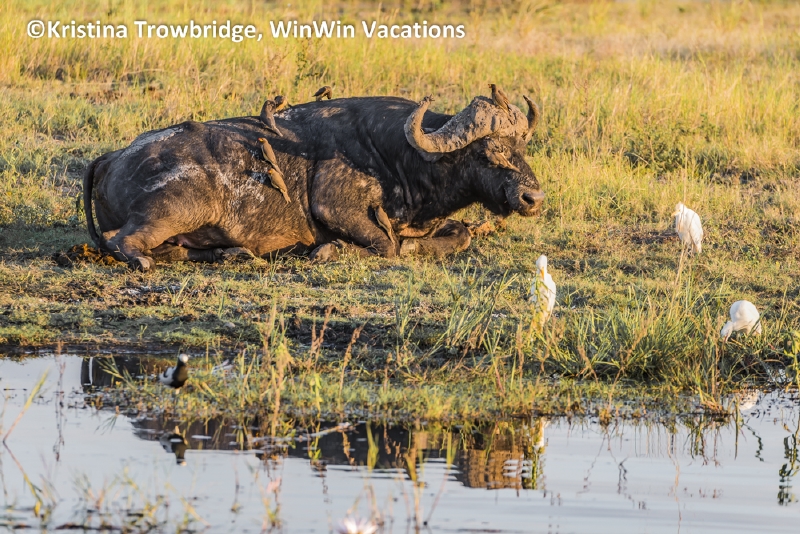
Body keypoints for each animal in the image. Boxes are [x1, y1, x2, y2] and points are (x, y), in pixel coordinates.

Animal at [83, 93, 544, 270]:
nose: (532, 197)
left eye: (522, 146)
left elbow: (460, 234)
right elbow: (386, 244)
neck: (405, 157)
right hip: (183, 206)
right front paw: (330, 250)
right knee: (119, 239)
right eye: (490, 151)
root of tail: (111, 157)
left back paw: (231, 254)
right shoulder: (334, 207)